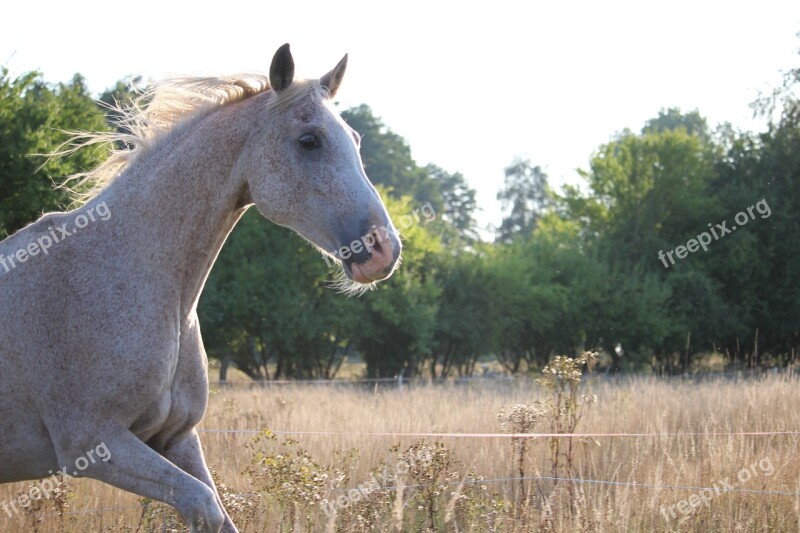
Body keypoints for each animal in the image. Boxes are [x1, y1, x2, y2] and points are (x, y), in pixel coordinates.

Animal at [0, 43, 400, 528]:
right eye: (310, 141)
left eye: (355, 140)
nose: (383, 249)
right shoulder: (94, 445)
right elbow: (203, 506)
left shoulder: (176, 438)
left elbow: (220, 515)